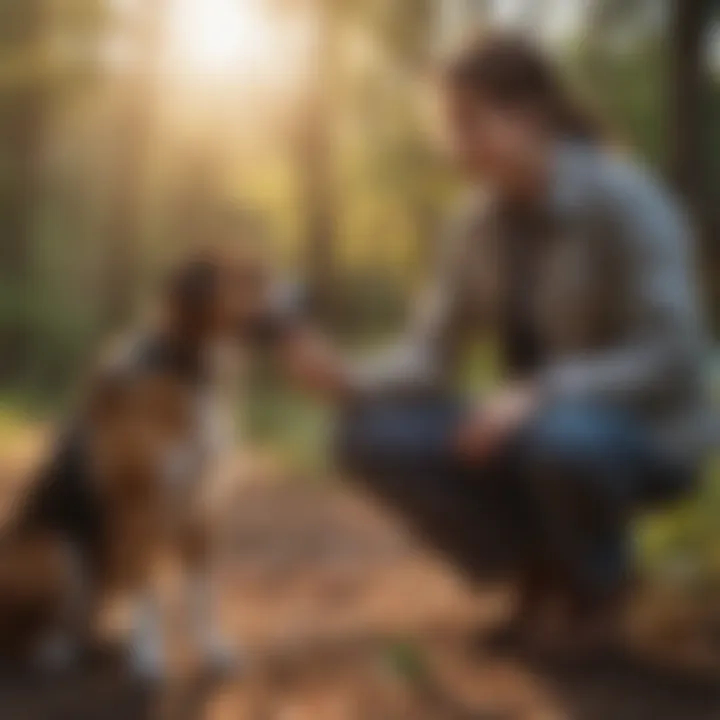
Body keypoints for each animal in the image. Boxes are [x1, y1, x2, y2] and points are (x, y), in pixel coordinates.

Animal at [0, 245, 294, 676]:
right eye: (253, 276)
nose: (307, 299)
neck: (186, 368)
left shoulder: (202, 510)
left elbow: (202, 596)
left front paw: (212, 650)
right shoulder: (141, 510)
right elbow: (149, 594)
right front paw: (148, 659)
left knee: (79, 619)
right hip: (55, 550)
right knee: (23, 632)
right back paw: (54, 650)